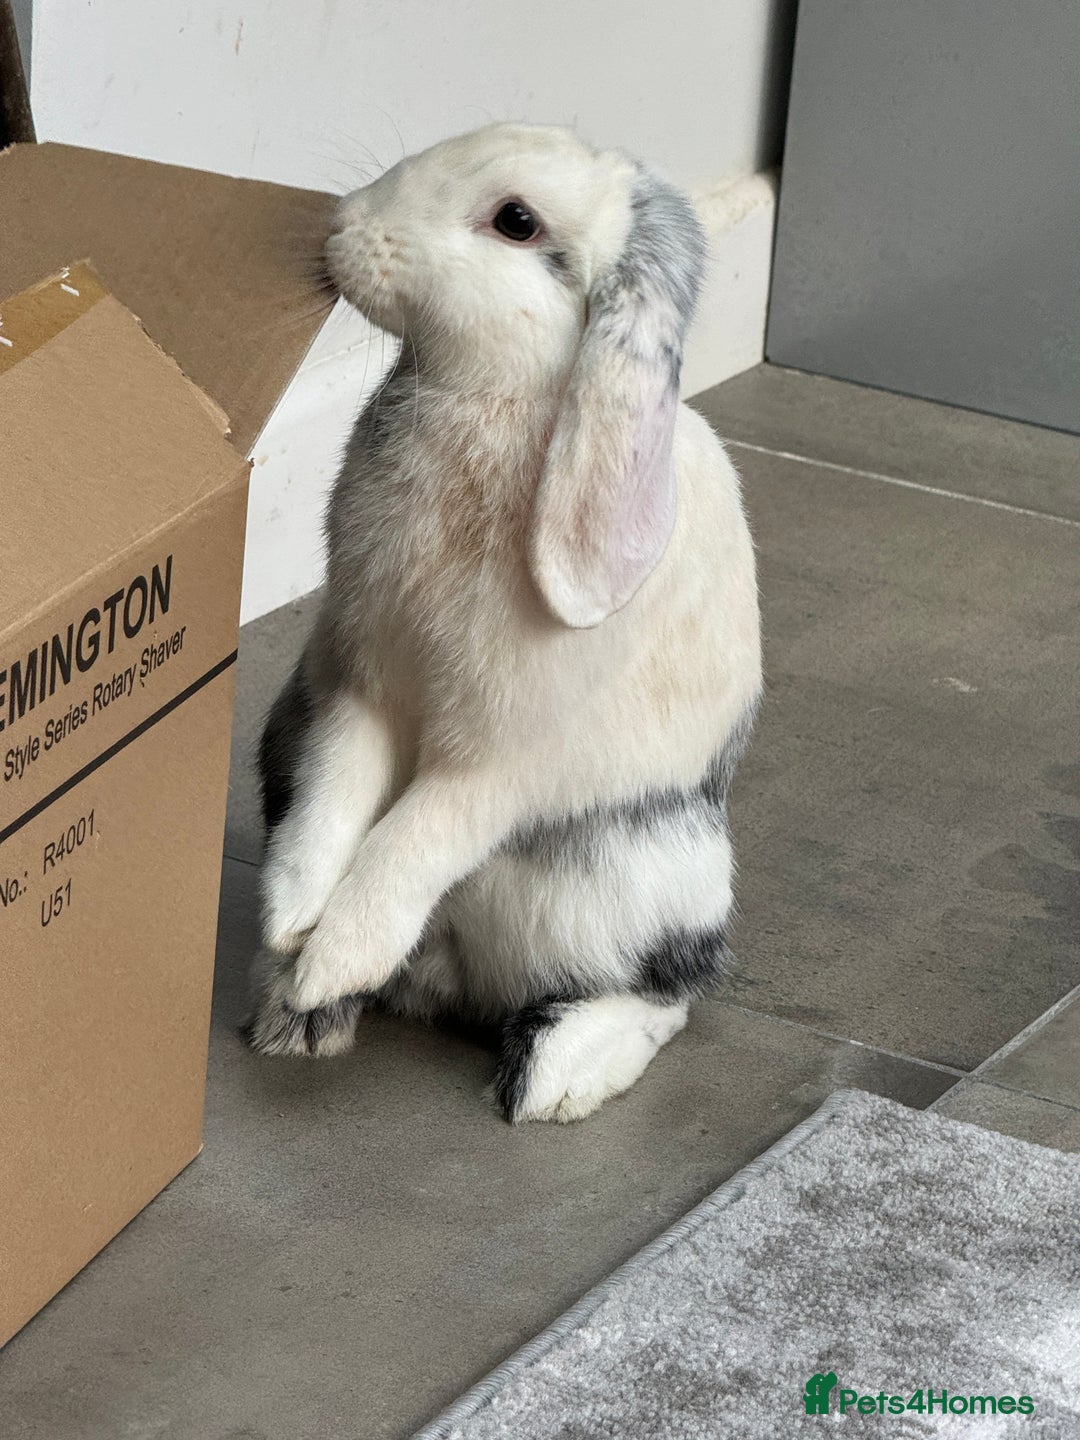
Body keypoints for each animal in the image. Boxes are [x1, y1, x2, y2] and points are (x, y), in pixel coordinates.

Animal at [245, 122, 762, 1123]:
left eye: (516, 222)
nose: (341, 225)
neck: (491, 400)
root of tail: (457, 987)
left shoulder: (494, 767)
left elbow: (411, 841)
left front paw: (335, 955)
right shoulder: (361, 690)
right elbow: (337, 804)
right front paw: (293, 928)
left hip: (629, 879)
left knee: (667, 991)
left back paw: (556, 1074)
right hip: (281, 739)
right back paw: (297, 1014)